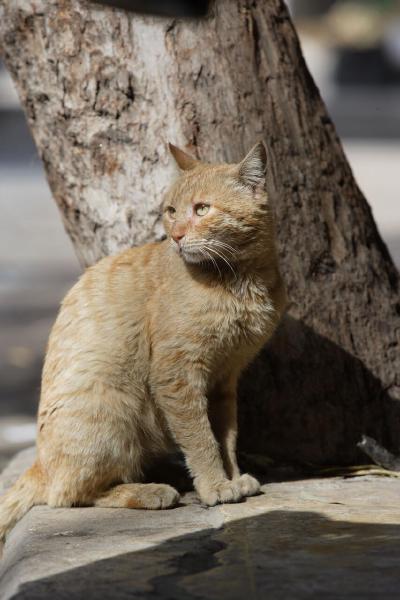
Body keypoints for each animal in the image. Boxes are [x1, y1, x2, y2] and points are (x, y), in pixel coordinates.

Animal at [0, 141, 287, 543]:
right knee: (67, 495)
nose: (177, 235)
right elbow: (201, 439)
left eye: (202, 209)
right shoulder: (177, 374)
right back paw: (151, 491)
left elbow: (225, 436)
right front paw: (215, 486)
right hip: (111, 407)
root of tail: (38, 463)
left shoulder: (224, 380)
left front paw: (233, 477)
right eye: (171, 211)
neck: (238, 281)